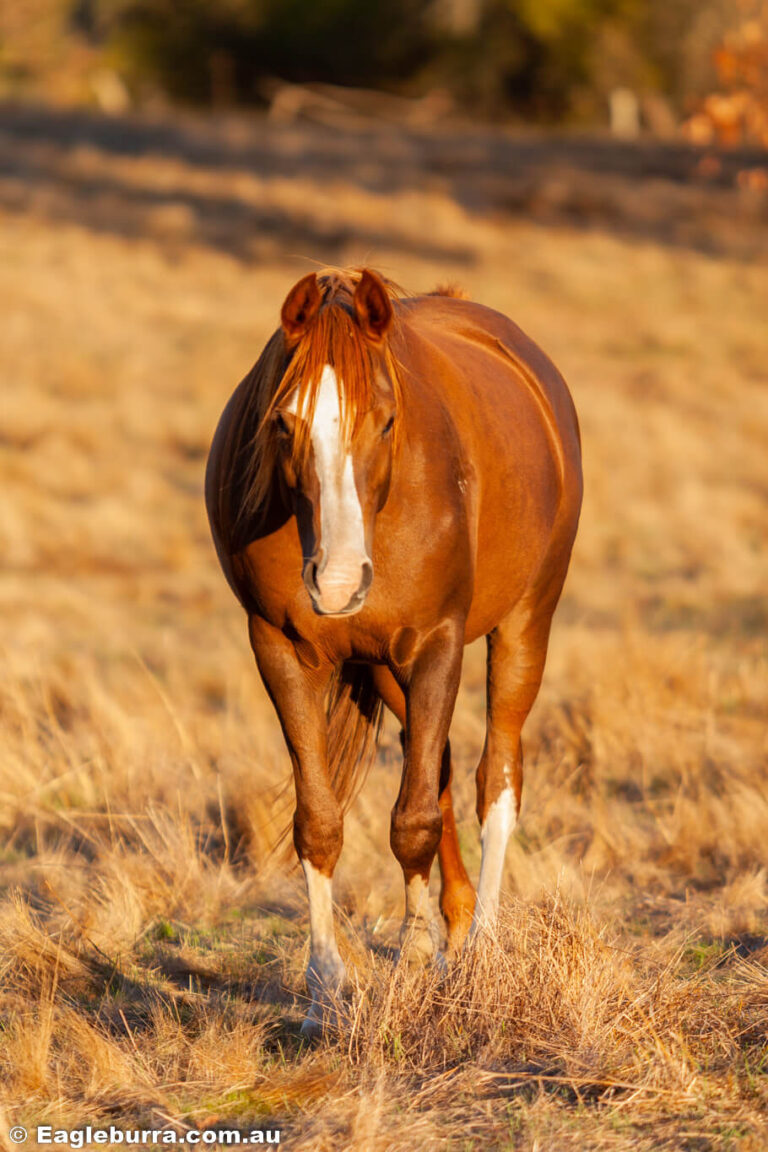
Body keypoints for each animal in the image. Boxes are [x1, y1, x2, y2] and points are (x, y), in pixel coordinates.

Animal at [206, 267, 582, 1036]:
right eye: (284, 422)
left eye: (384, 420)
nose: (338, 580)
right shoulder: (279, 648)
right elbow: (321, 823)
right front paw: (324, 988)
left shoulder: (438, 644)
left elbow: (413, 823)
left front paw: (411, 964)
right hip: (384, 671)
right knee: (437, 769)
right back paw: (457, 932)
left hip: (525, 621)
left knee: (495, 777)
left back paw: (483, 948)